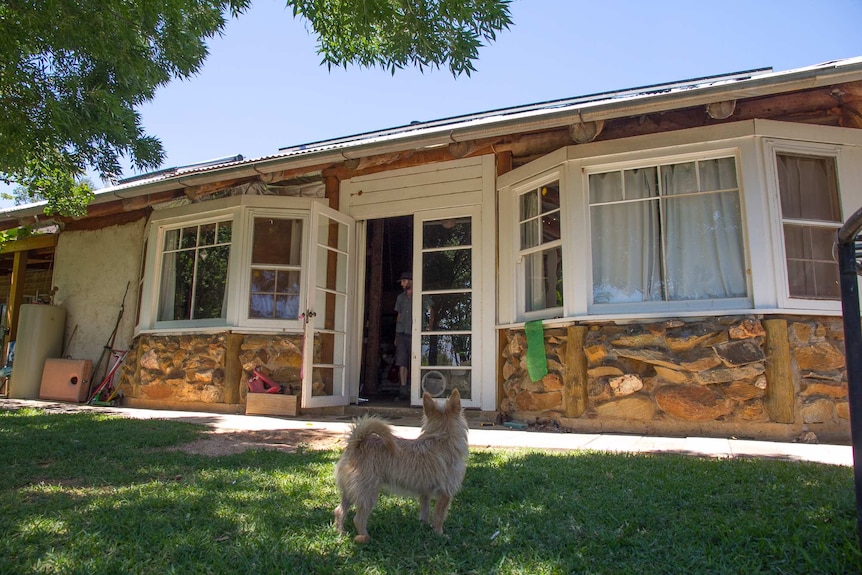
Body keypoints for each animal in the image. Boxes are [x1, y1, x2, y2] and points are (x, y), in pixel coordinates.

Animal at [334, 388, 470, 544]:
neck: (441, 437)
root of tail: (357, 443)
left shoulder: (425, 492)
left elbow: (425, 511)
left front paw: (424, 527)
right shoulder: (445, 493)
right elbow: (439, 516)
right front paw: (439, 534)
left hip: (350, 491)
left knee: (339, 510)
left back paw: (341, 533)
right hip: (368, 493)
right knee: (359, 519)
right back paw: (365, 538)